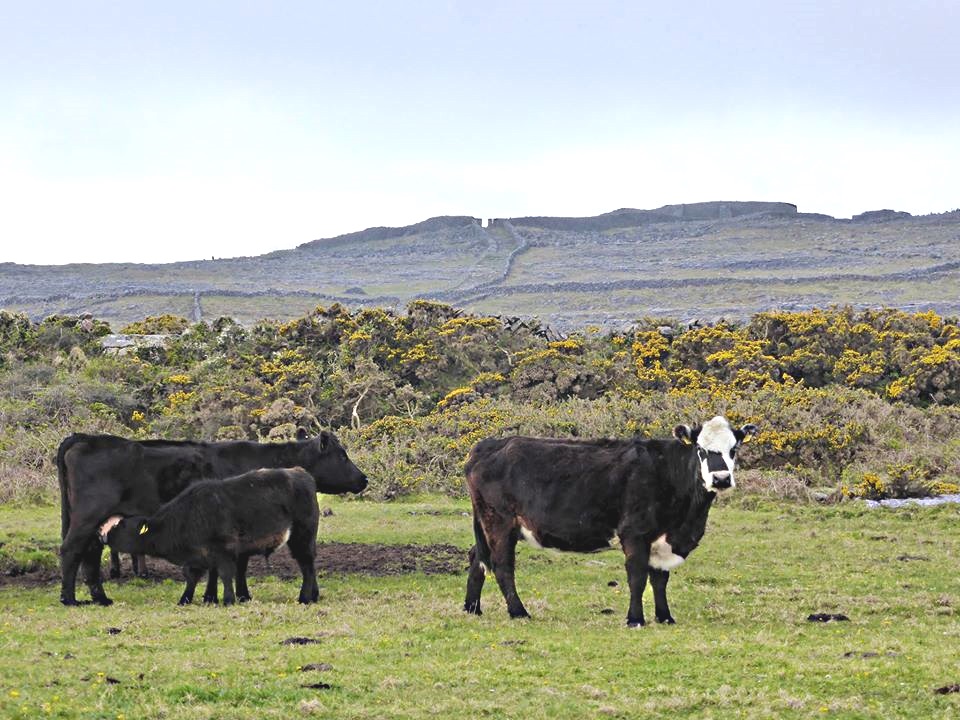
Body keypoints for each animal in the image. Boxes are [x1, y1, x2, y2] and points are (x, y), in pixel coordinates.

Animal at [100, 470, 320, 604]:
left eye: (120, 525)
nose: (101, 534)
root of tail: (300, 473)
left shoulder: (223, 550)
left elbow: (224, 574)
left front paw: (228, 599)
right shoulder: (201, 554)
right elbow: (196, 576)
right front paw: (191, 599)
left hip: (301, 537)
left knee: (307, 566)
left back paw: (304, 597)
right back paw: (314, 595)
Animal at [464, 416, 756, 624]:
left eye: (734, 449)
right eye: (700, 449)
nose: (721, 479)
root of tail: (488, 445)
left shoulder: (661, 538)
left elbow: (659, 578)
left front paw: (664, 617)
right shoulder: (635, 532)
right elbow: (637, 576)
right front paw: (635, 619)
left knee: (477, 557)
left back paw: (472, 608)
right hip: (499, 522)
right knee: (502, 565)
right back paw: (519, 612)